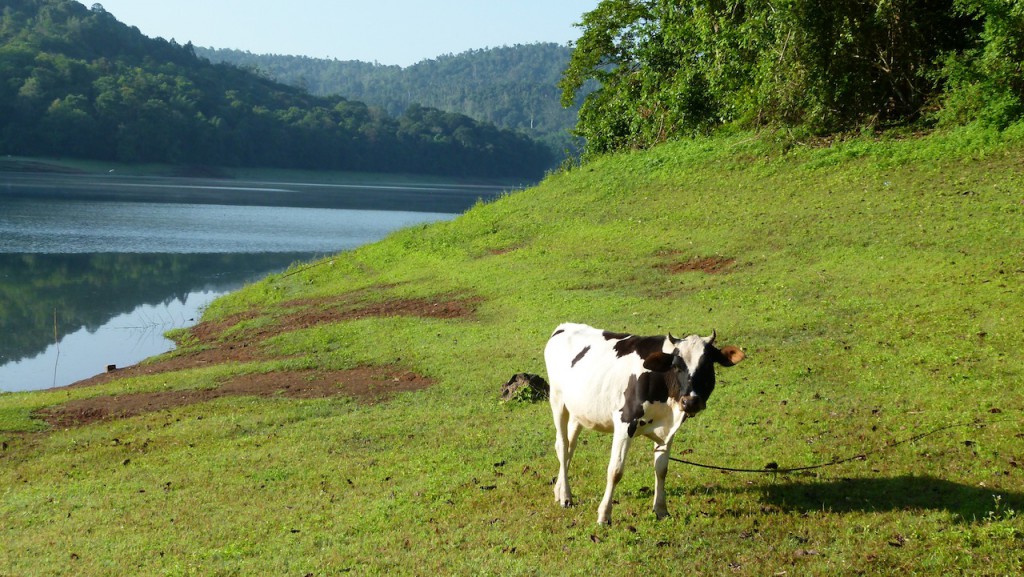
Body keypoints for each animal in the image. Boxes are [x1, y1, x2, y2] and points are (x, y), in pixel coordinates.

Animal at [544, 323, 745, 524]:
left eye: (707, 365)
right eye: (676, 366)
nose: (690, 402)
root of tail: (565, 326)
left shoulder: (668, 428)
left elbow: (661, 469)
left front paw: (661, 510)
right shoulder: (625, 422)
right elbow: (615, 470)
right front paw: (604, 515)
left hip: (579, 410)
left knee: (571, 446)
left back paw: (560, 491)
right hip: (557, 401)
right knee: (562, 446)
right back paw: (566, 496)